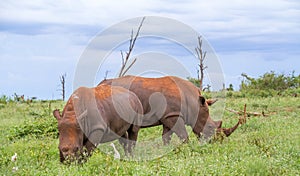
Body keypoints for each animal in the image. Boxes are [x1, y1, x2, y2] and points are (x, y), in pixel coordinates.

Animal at [99, 75, 240, 144]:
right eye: (210, 127)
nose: (215, 142)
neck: (194, 103)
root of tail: (100, 84)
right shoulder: (173, 115)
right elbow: (183, 136)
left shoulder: (169, 115)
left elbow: (166, 137)